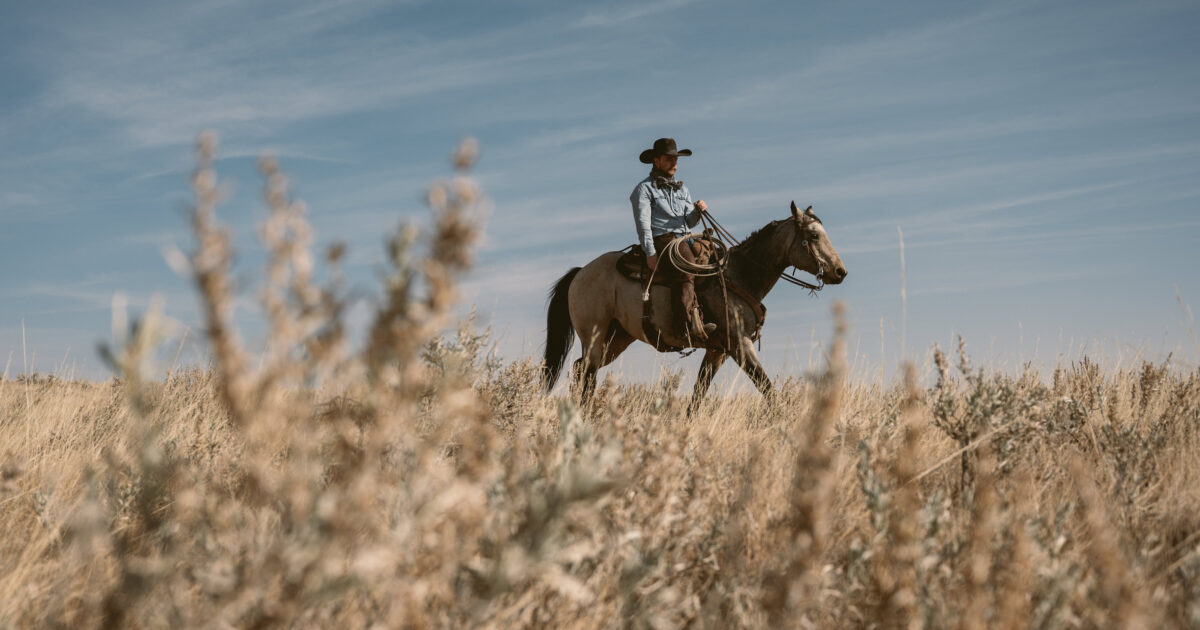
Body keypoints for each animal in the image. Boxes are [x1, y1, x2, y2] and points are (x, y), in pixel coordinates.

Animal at [540, 199, 849, 410]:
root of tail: (580, 272)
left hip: (616, 339)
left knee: (579, 369)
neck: (739, 276)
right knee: (586, 374)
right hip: (595, 337)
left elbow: (698, 396)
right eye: (813, 236)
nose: (840, 272)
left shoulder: (717, 352)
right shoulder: (740, 345)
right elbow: (767, 387)